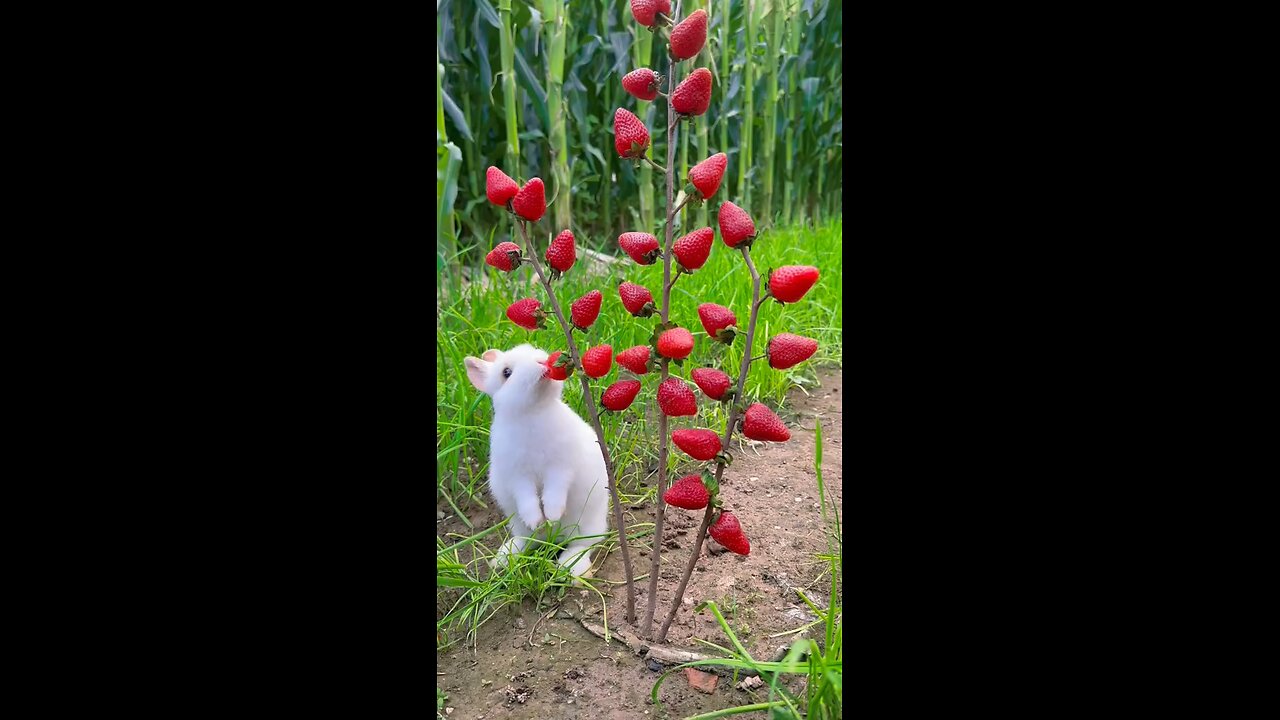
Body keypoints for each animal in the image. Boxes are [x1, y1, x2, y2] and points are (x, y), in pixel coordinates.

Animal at [465, 340, 609, 576]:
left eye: (534, 350)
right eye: (506, 372)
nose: (542, 361)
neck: (533, 414)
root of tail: (553, 539)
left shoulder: (561, 468)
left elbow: (555, 491)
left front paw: (552, 514)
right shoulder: (517, 476)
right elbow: (526, 498)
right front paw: (537, 520)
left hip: (588, 524)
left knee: (583, 545)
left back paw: (571, 567)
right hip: (518, 524)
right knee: (528, 540)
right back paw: (505, 557)